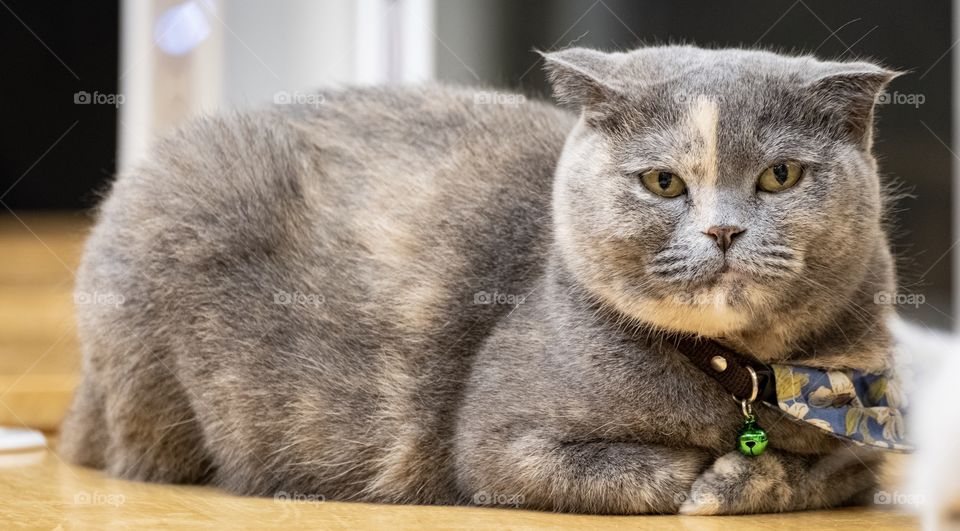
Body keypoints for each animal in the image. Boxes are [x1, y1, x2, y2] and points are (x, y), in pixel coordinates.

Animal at [63, 46, 904, 516]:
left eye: (780, 175)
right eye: (663, 182)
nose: (724, 230)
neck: (740, 377)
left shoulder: (868, 435)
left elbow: (829, 470)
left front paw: (748, 477)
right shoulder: (499, 444)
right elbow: (644, 470)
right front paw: (708, 477)